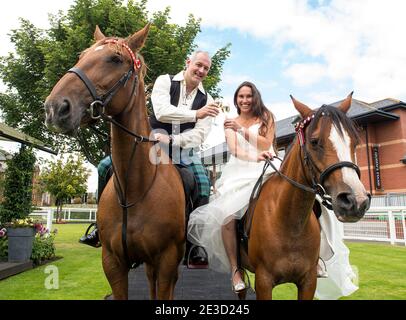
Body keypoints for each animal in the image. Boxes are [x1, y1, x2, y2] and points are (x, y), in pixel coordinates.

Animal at [43, 25, 185, 300]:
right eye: (81, 56)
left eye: (116, 59)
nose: (55, 108)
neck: (135, 189)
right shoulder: (112, 263)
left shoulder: (167, 261)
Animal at [241, 94, 372, 298]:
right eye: (314, 141)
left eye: (355, 142)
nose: (356, 201)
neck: (290, 220)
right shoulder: (263, 282)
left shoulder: (309, 281)